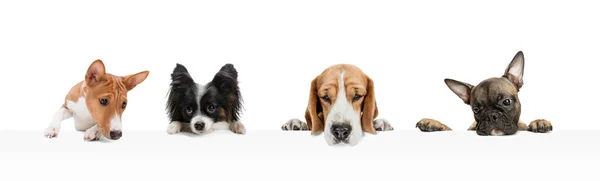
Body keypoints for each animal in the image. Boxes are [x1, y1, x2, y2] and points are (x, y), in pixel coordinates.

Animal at [418, 51, 552, 136]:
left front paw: (539, 122)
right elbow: (448, 128)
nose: (491, 116)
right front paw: (432, 123)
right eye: (476, 110)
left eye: (506, 101)